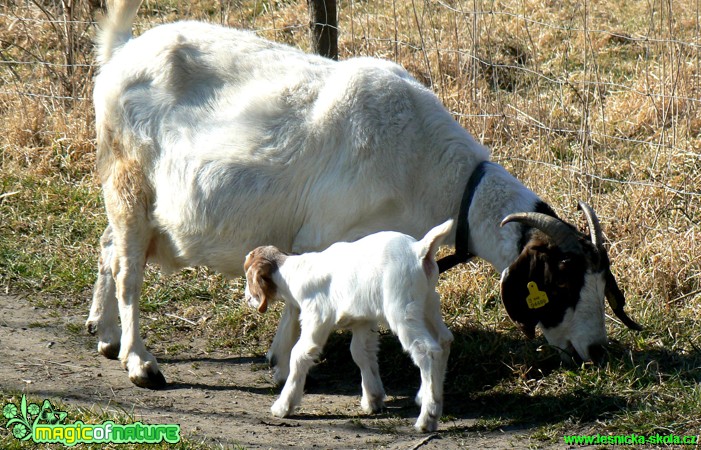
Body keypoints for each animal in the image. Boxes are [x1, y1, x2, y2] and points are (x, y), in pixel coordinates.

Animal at [87, 0, 640, 390]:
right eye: (563, 280)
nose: (597, 351)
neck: (425, 163)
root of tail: (122, 53)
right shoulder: (320, 235)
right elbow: (297, 298)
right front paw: (282, 363)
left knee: (108, 248)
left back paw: (105, 334)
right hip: (128, 182)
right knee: (129, 272)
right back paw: (140, 362)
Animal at [245, 221, 454, 432]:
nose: (246, 298)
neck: (294, 272)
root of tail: (419, 249)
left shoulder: (316, 318)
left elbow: (299, 354)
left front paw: (283, 405)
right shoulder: (364, 321)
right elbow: (361, 353)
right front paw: (373, 398)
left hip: (402, 311)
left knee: (427, 351)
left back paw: (428, 417)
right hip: (428, 304)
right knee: (444, 340)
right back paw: (428, 396)